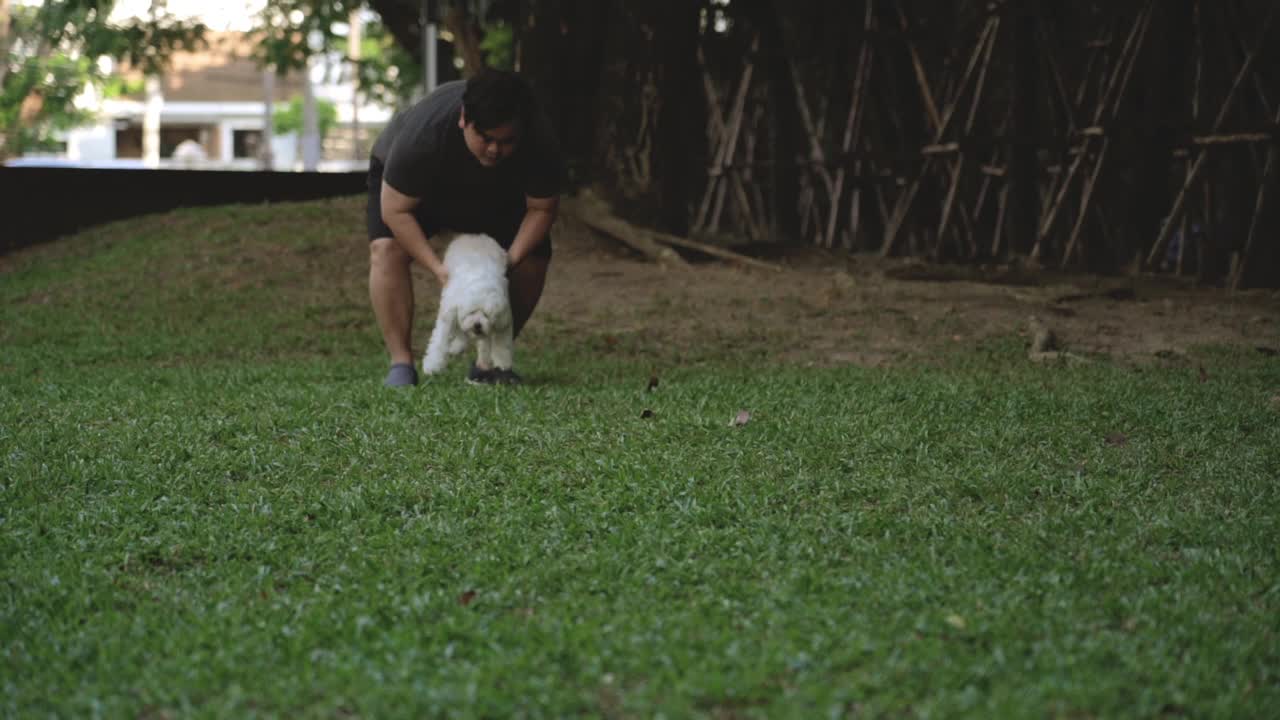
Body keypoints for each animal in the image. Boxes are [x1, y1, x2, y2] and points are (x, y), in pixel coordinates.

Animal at [424, 233, 514, 376]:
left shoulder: (504, 319)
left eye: (486, 315)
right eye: (471, 312)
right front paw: (432, 366)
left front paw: (503, 363)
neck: (481, 285)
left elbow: (502, 344)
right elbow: (439, 341)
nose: (477, 325)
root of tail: (474, 235)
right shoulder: (450, 311)